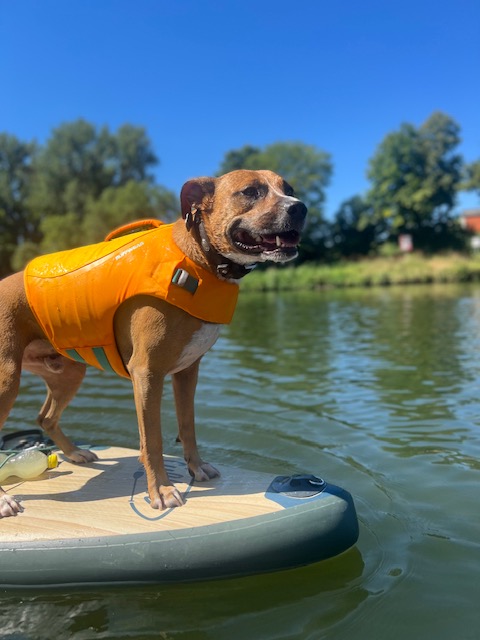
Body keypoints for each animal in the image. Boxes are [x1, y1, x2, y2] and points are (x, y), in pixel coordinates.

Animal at [0, 169, 307, 518]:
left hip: (68, 374)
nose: (299, 207)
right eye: (251, 191)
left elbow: (188, 426)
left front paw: (196, 468)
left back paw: (75, 453)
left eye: (288, 188)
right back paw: (5, 499)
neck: (199, 259)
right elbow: (152, 441)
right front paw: (161, 490)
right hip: (7, 380)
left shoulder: (187, 373)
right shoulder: (147, 373)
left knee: (46, 418)